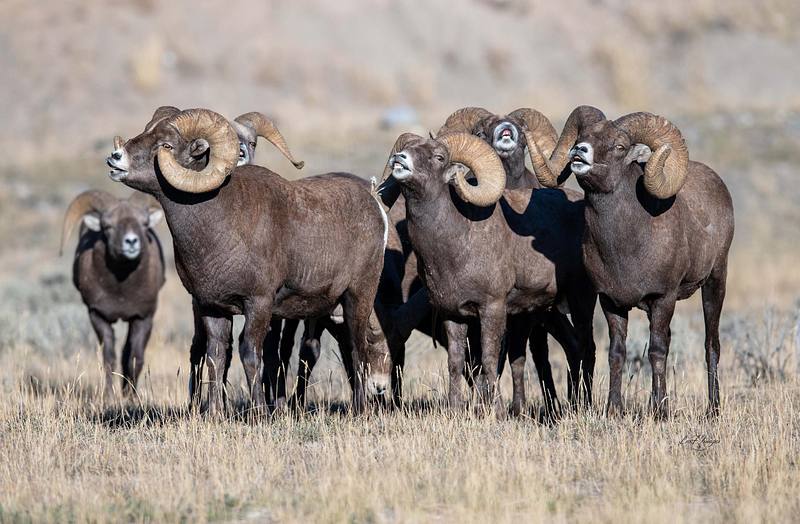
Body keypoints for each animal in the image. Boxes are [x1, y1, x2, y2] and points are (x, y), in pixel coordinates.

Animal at [60, 190, 165, 398]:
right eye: (108, 226)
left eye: (144, 223)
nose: (131, 242)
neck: (121, 289)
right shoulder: (98, 316)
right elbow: (109, 358)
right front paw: (109, 396)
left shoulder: (143, 318)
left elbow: (135, 358)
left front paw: (131, 398)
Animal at [106, 107, 391, 414]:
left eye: (166, 145)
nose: (116, 158)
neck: (218, 222)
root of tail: (375, 206)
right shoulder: (212, 308)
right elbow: (216, 356)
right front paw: (215, 413)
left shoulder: (259, 304)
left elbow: (251, 354)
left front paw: (260, 413)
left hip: (358, 297)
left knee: (357, 350)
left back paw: (360, 410)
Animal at [376, 131, 597, 417]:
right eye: (409, 148)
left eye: (439, 157)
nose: (400, 159)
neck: (457, 242)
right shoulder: (452, 314)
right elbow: (456, 362)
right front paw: (455, 409)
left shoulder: (492, 308)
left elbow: (489, 361)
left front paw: (495, 412)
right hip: (546, 312)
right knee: (571, 347)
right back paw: (567, 407)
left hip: (582, 301)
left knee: (586, 348)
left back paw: (583, 406)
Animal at [527, 106, 735, 418]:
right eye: (583, 135)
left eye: (620, 146)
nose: (579, 152)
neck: (626, 246)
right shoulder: (611, 303)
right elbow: (617, 352)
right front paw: (614, 409)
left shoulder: (663, 299)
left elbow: (657, 351)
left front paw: (659, 412)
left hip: (715, 282)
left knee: (711, 344)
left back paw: (713, 410)